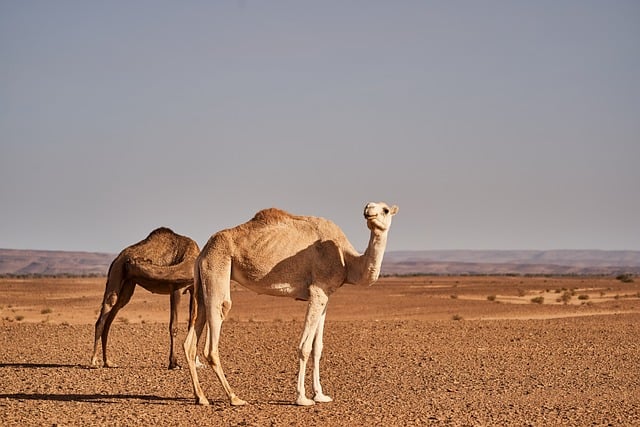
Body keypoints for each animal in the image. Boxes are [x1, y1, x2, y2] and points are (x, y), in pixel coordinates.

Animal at [91, 227, 199, 369]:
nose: (128, 261)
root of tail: (117, 259)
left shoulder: (193, 290)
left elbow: (192, 323)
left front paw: (196, 362)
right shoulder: (176, 289)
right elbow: (174, 327)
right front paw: (174, 363)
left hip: (127, 284)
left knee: (110, 318)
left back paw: (108, 362)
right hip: (116, 275)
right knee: (103, 316)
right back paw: (94, 361)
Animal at [184, 201, 398, 406]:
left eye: (385, 210)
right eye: (369, 206)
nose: (369, 211)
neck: (346, 258)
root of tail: (204, 250)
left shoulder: (325, 296)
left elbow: (318, 347)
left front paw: (321, 395)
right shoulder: (317, 290)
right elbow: (305, 347)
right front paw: (302, 398)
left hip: (202, 281)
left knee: (191, 341)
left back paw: (201, 397)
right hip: (217, 265)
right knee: (214, 336)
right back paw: (234, 398)